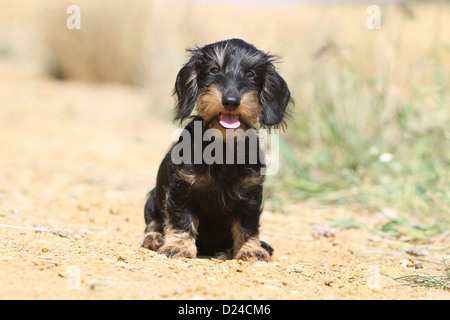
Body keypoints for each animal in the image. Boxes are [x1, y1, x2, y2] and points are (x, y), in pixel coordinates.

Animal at [142, 38, 294, 262]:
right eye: (214, 70)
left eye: (250, 74)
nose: (231, 101)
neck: (223, 144)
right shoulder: (181, 189)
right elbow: (181, 219)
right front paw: (179, 246)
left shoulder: (250, 195)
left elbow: (247, 225)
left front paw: (250, 249)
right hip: (153, 197)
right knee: (152, 222)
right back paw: (154, 238)